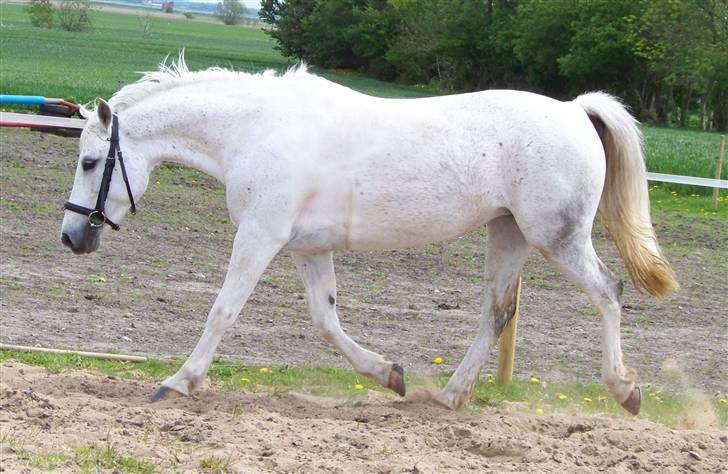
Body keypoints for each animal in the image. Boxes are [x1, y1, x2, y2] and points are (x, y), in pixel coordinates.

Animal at [62, 60, 676, 414]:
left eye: (91, 162)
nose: (71, 237)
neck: (255, 130)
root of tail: (575, 111)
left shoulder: (260, 236)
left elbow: (223, 311)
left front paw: (178, 383)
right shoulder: (308, 248)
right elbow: (326, 319)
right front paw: (389, 375)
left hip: (558, 237)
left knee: (608, 292)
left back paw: (625, 390)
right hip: (509, 235)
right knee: (497, 313)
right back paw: (448, 396)